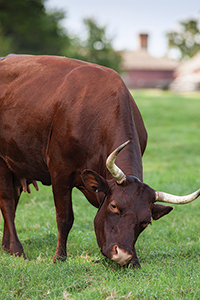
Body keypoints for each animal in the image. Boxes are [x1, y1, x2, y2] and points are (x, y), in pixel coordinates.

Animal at [0, 54, 200, 268]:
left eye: (146, 222)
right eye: (114, 206)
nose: (122, 255)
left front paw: (134, 260)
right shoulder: (60, 171)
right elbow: (65, 217)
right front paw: (59, 258)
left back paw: (6, 247)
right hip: (3, 162)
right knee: (8, 203)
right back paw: (17, 249)